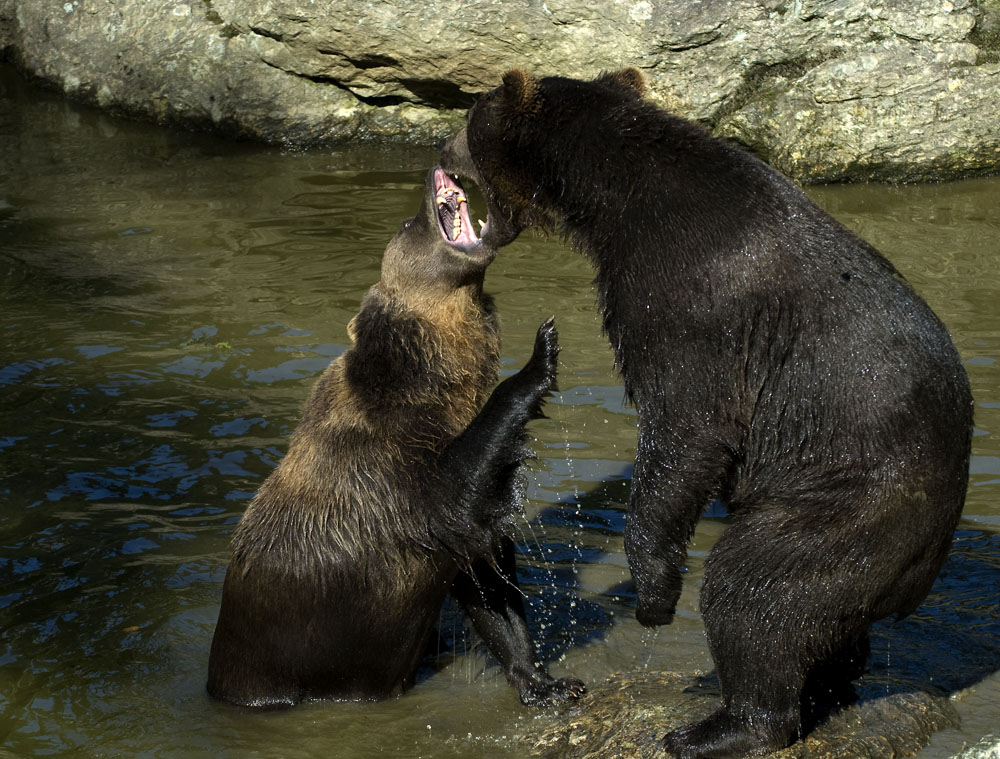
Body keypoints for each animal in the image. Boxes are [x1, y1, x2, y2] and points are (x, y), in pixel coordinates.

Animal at [209, 163, 584, 708]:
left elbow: (486, 577)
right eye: (409, 224)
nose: (436, 172)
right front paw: (542, 352)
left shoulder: (441, 532)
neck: (435, 380)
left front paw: (546, 682)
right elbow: (458, 492)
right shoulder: (389, 467)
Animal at [438, 70, 968, 759]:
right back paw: (827, 686)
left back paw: (719, 725)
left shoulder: (687, 300)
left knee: (757, 590)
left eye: (469, 118)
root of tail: (926, 568)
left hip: (850, 506)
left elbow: (687, 426)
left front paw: (654, 595)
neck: (612, 199)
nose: (441, 148)